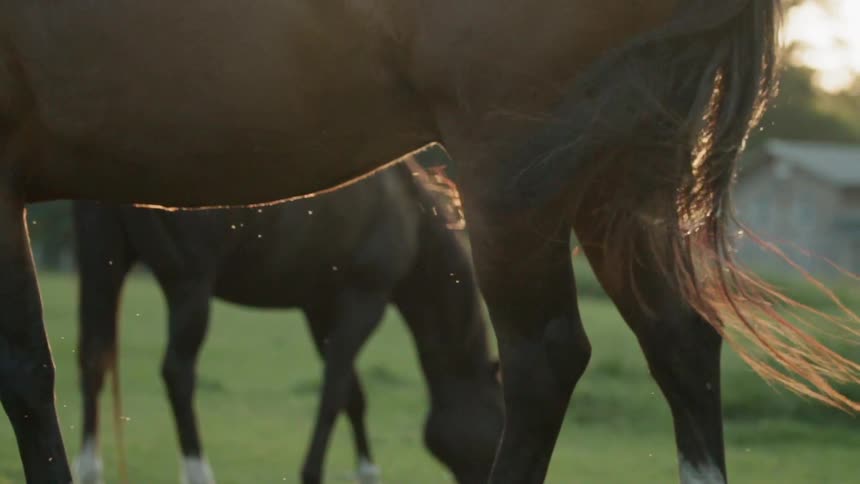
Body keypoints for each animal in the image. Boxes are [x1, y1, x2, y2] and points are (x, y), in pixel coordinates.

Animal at [71, 162, 502, 484]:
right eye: (499, 424)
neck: (408, 209)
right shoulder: (365, 299)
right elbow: (334, 390)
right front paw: (314, 472)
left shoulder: (319, 307)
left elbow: (352, 393)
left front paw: (368, 473)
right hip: (189, 285)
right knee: (178, 372)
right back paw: (199, 473)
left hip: (102, 265)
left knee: (93, 360)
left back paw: (89, 469)